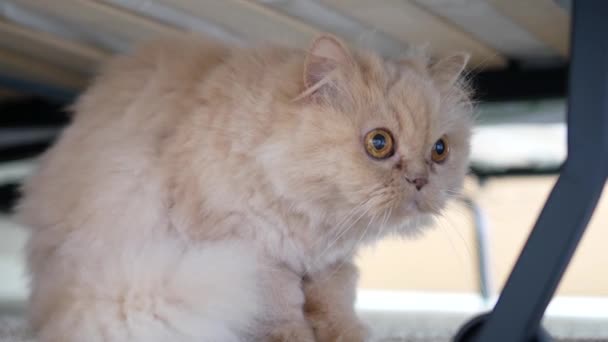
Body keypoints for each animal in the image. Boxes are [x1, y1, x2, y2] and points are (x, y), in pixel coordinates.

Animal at [13, 32, 470, 342]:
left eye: (440, 150)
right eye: (379, 143)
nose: (420, 180)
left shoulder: (330, 266)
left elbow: (336, 307)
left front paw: (350, 334)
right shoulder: (256, 256)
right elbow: (284, 314)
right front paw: (295, 337)